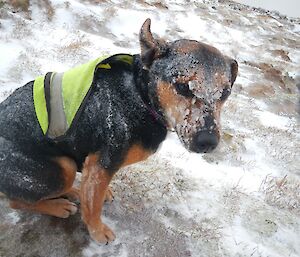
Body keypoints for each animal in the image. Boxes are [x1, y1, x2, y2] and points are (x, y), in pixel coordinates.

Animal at [0, 18, 239, 242]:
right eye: (182, 87)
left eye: (225, 93)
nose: (207, 142)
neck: (141, 95)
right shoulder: (101, 163)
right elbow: (93, 206)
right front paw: (97, 231)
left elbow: (93, 194)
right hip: (62, 168)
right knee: (16, 201)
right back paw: (58, 206)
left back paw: (74, 192)